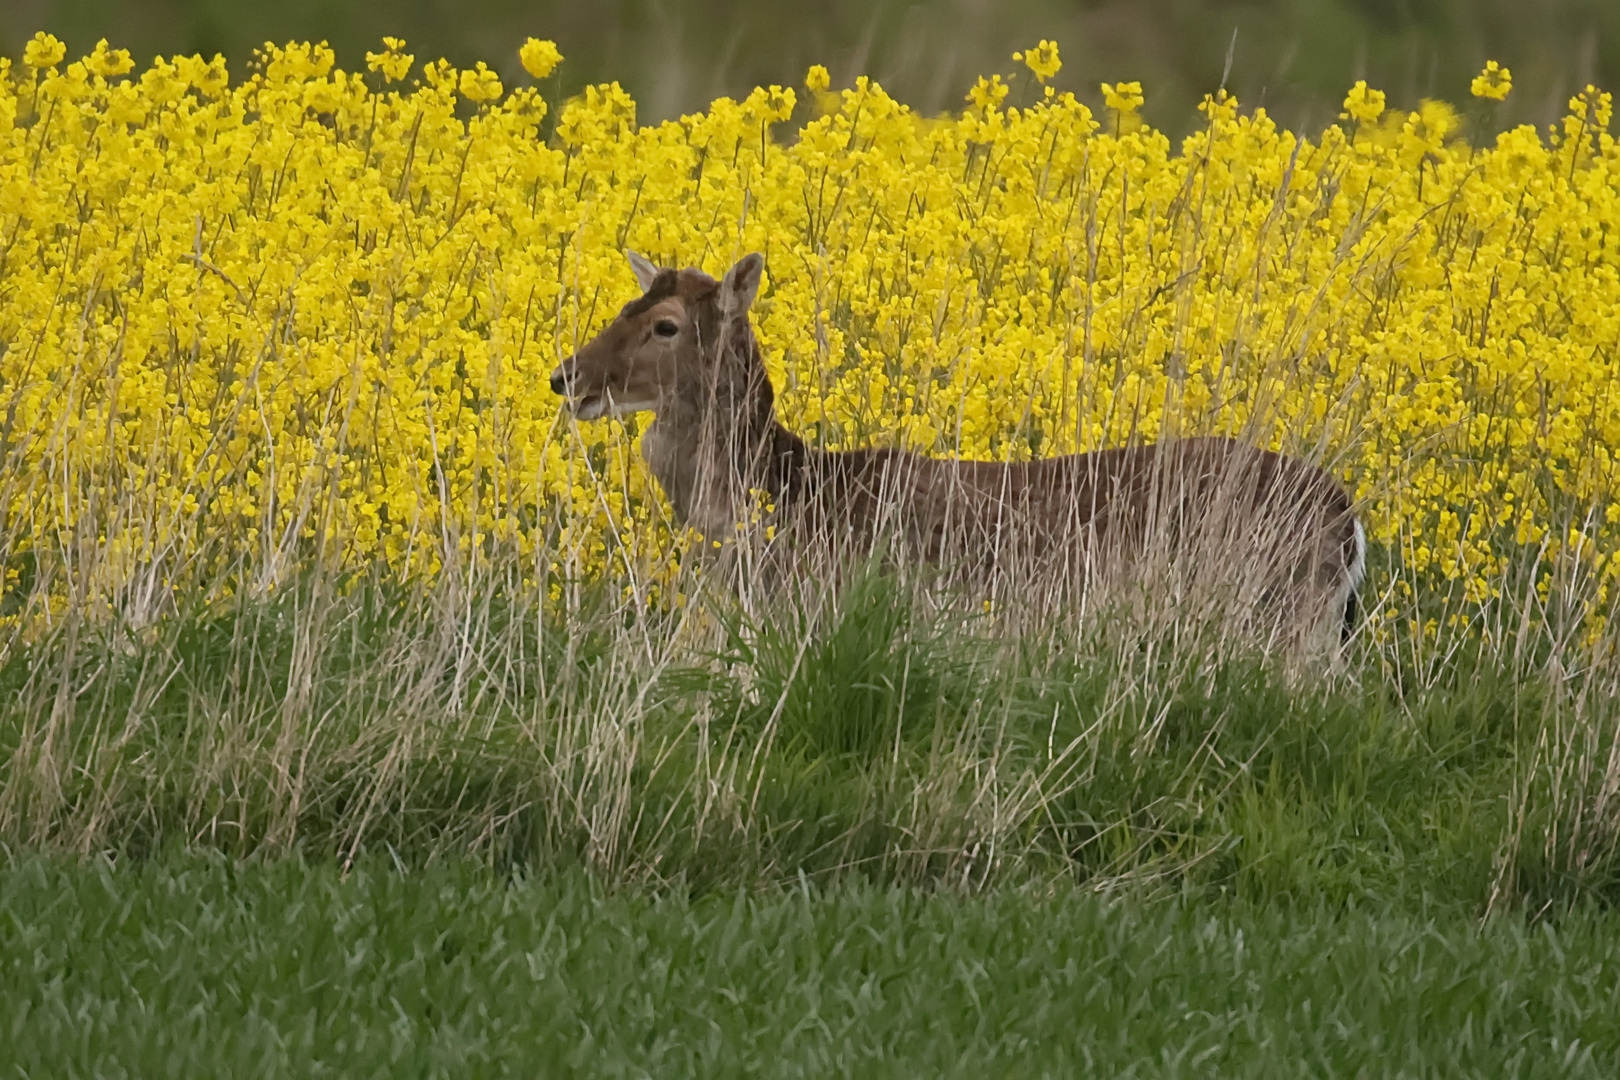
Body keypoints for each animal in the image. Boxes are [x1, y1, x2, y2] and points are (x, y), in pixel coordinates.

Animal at [547, 250, 1367, 647]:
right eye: (626, 305)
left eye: (667, 325)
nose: (566, 376)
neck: (781, 502)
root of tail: (1349, 515)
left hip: (1279, 618)